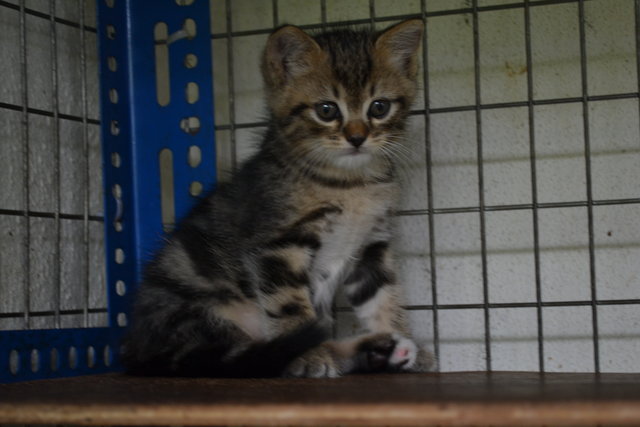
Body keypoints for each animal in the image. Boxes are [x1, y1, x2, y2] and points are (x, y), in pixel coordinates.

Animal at [121, 18, 430, 380]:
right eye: (326, 110)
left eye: (379, 107)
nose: (357, 138)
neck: (349, 183)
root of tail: (136, 351)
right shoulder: (277, 244)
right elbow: (290, 305)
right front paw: (309, 356)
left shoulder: (371, 244)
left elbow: (383, 297)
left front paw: (400, 334)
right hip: (202, 311)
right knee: (243, 358)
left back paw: (381, 349)